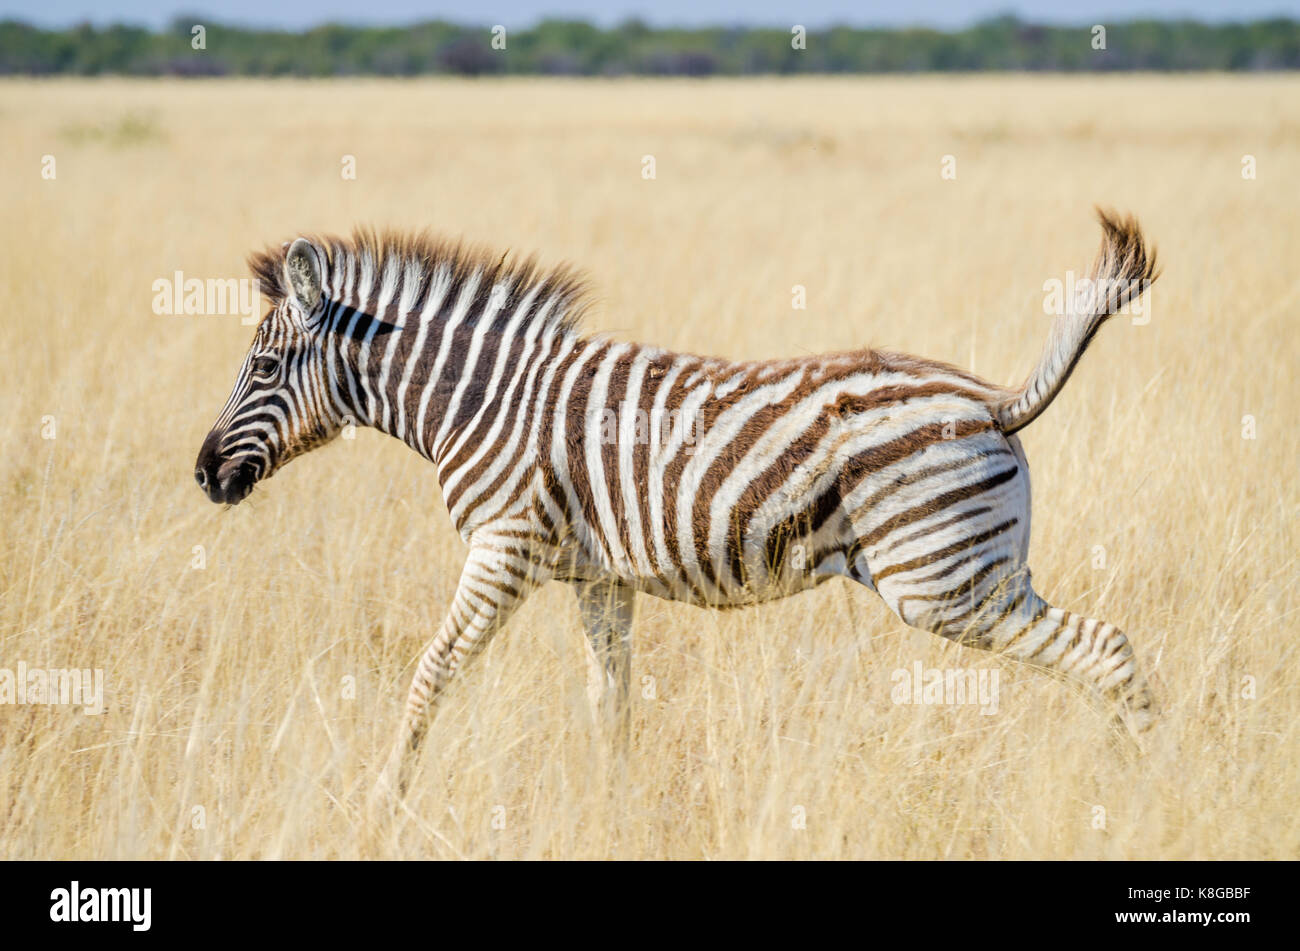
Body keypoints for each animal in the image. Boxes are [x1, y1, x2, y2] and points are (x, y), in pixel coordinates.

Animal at [195, 210, 1160, 796]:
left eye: (266, 367)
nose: (203, 474)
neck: (483, 399)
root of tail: (993, 399)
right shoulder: (596, 574)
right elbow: (610, 698)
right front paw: (611, 804)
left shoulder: (505, 546)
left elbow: (433, 670)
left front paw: (383, 795)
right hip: (976, 570)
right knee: (1105, 649)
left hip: (943, 581)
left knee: (1104, 650)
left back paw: (1140, 787)